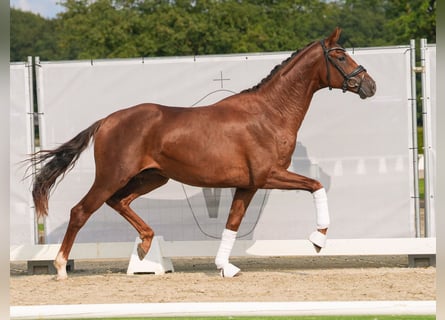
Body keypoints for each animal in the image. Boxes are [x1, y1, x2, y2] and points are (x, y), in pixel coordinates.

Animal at [28, 29, 374, 280]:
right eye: (339, 55)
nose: (370, 85)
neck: (269, 113)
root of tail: (107, 121)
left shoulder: (248, 184)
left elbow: (233, 223)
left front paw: (225, 267)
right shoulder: (269, 175)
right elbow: (316, 186)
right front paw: (318, 239)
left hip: (153, 178)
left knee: (119, 202)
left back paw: (145, 245)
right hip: (113, 176)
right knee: (81, 211)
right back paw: (60, 267)